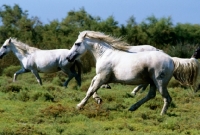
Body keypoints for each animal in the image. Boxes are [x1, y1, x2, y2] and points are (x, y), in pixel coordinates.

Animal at [66, 30, 200, 115]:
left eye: (77, 44)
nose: (68, 57)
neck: (105, 54)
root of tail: (172, 59)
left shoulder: (102, 77)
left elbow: (90, 90)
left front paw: (79, 106)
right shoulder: (102, 77)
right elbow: (92, 86)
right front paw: (98, 99)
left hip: (160, 83)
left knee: (167, 98)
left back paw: (161, 114)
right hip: (152, 82)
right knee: (151, 95)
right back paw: (132, 107)